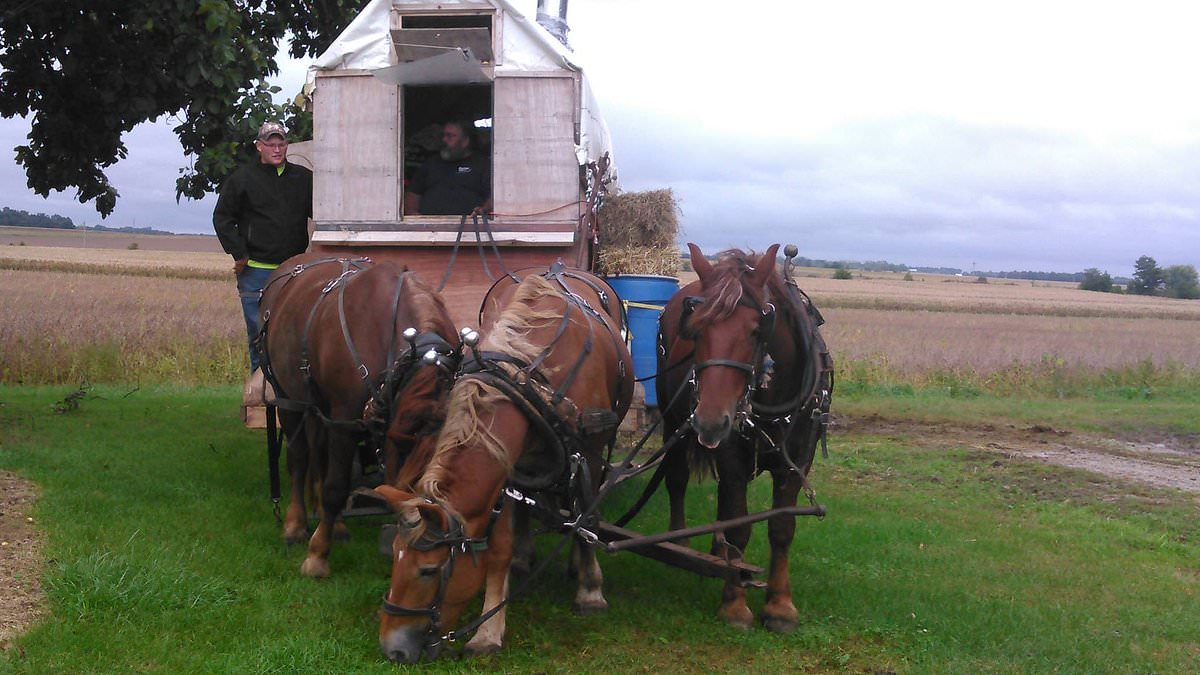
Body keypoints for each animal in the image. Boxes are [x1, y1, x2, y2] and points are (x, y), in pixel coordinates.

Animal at [258, 249, 458, 576]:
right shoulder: (343, 418)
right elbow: (336, 486)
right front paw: (317, 555)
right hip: (287, 395)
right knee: (299, 458)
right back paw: (295, 525)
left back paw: (334, 524)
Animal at [374, 264, 638, 662]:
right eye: (394, 556)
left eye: (429, 570)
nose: (393, 649)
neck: (534, 380)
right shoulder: (506, 465)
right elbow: (499, 549)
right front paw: (488, 630)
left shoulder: (588, 455)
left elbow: (587, 518)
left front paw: (591, 591)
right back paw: (524, 557)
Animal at [657, 241, 835, 629]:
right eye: (696, 329)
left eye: (757, 330)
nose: (709, 421)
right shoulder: (731, 455)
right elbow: (740, 524)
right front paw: (735, 603)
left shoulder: (798, 460)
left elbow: (781, 527)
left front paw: (780, 604)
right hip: (672, 420)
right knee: (677, 479)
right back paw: (681, 543)